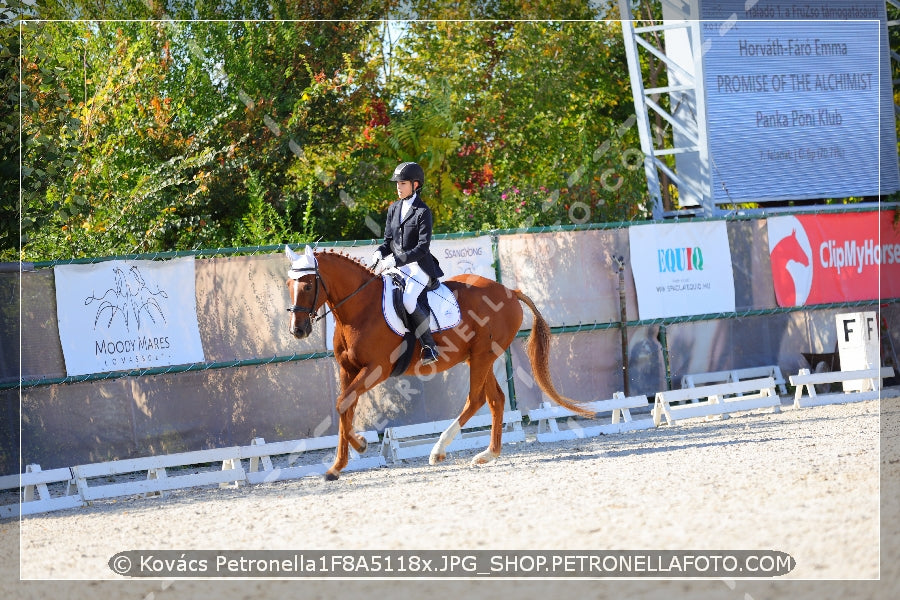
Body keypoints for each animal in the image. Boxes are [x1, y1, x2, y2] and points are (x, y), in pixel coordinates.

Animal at [282, 243, 592, 478]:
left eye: (307, 286)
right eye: (288, 284)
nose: (298, 330)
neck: (360, 310)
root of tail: (509, 292)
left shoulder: (376, 370)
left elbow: (342, 403)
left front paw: (360, 445)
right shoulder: (348, 370)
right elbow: (344, 406)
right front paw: (337, 466)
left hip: (482, 356)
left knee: (476, 400)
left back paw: (439, 451)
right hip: (478, 358)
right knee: (496, 400)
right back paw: (488, 455)